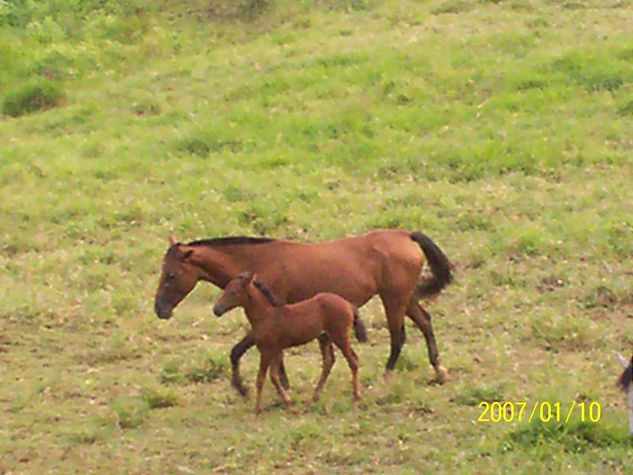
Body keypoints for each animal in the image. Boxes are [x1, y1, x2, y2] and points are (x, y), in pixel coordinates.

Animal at [154, 228, 452, 394]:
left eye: (171, 274)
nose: (160, 310)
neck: (259, 264)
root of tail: (406, 235)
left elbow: (248, 352)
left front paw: (249, 388)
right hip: (405, 298)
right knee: (425, 322)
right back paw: (439, 371)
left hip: (393, 299)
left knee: (398, 337)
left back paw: (384, 379)